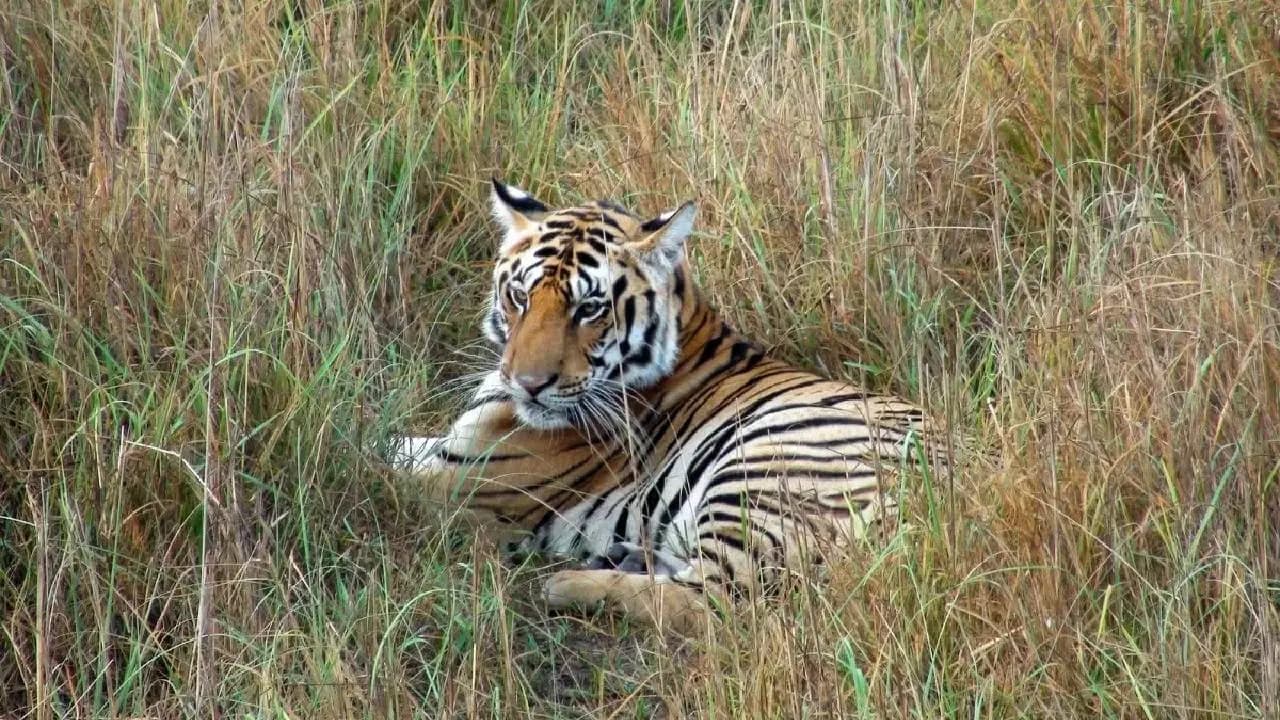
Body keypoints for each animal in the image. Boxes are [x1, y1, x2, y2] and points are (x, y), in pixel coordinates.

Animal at [390, 179, 950, 633]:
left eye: (589, 309)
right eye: (520, 297)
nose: (528, 385)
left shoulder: (463, 482)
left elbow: (378, 473)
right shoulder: (446, 450)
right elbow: (390, 444)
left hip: (760, 471)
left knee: (719, 603)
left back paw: (568, 584)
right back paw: (623, 555)